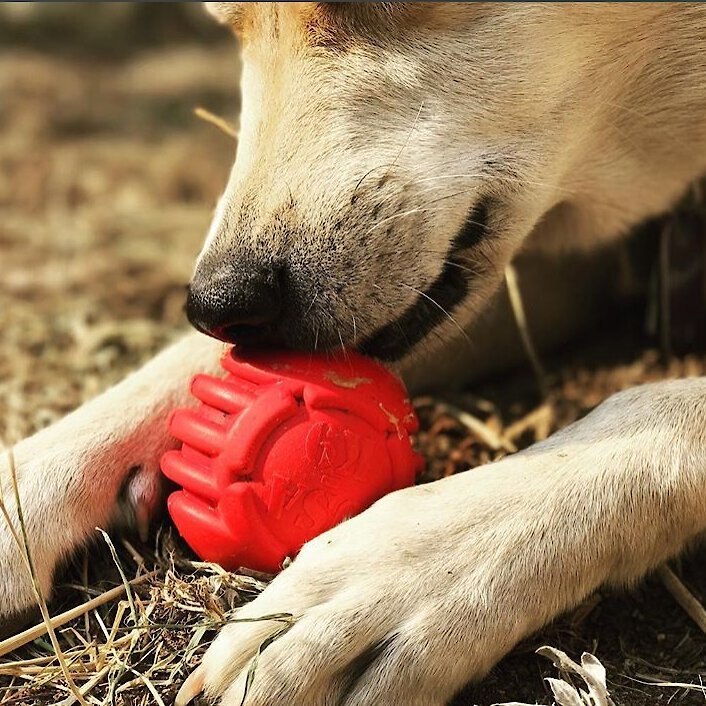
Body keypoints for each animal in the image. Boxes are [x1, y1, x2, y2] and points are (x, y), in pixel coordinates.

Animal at [1, 2, 704, 700]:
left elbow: (657, 408)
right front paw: (23, 485)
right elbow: (187, 368)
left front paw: (395, 577)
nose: (217, 302)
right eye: (227, 24)